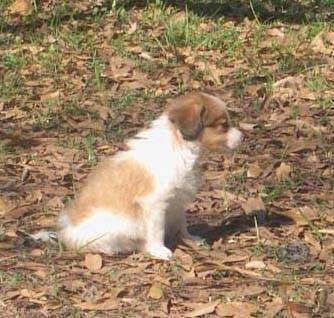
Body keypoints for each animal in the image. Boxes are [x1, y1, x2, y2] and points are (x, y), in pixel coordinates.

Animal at [58, 91, 243, 258]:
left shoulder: (176, 201)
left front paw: (190, 239)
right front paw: (159, 250)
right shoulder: (155, 204)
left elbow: (182, 223)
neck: (178, 146)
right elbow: (157, 230)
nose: (243, 136)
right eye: (223, 125)